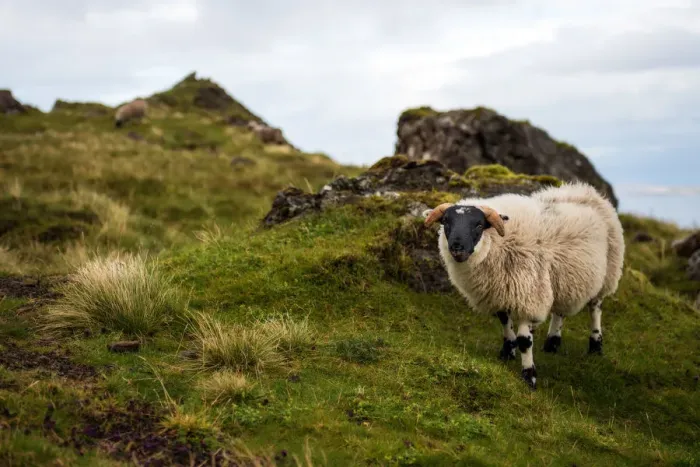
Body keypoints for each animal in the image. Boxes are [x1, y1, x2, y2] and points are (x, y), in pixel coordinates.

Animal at [423, 181, 625, 389]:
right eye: (446, 222)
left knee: (595, 309)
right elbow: (505, 323)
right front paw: (508, 351)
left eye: (479, 225)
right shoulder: (500, 291)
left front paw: (529, 375)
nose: (457, 248)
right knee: (559, 311)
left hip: (607, 273)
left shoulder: (528, 294)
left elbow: (524, 341)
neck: (497, 242)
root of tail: (585, 190)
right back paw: (552, 343)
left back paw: (595, 345)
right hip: (562, 278)